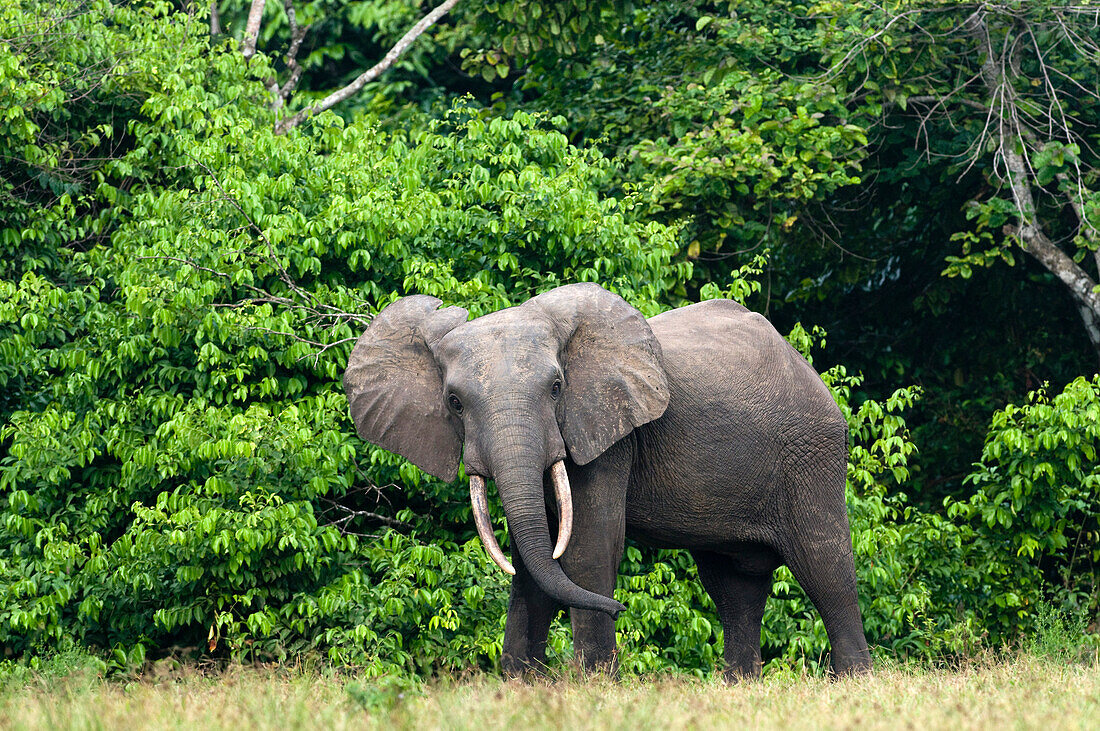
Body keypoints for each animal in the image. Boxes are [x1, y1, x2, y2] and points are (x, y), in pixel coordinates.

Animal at [338, 283, 871, 677]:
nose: (619, 610)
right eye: (454, 403)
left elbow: (586, 550)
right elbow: (535, 562)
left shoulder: (608, 433)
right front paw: (520, 685)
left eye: (557, 388)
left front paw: (594, 683)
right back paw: (740, 686)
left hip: (811, 452)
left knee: (825, 566)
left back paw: (854, 683)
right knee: (733, 584)